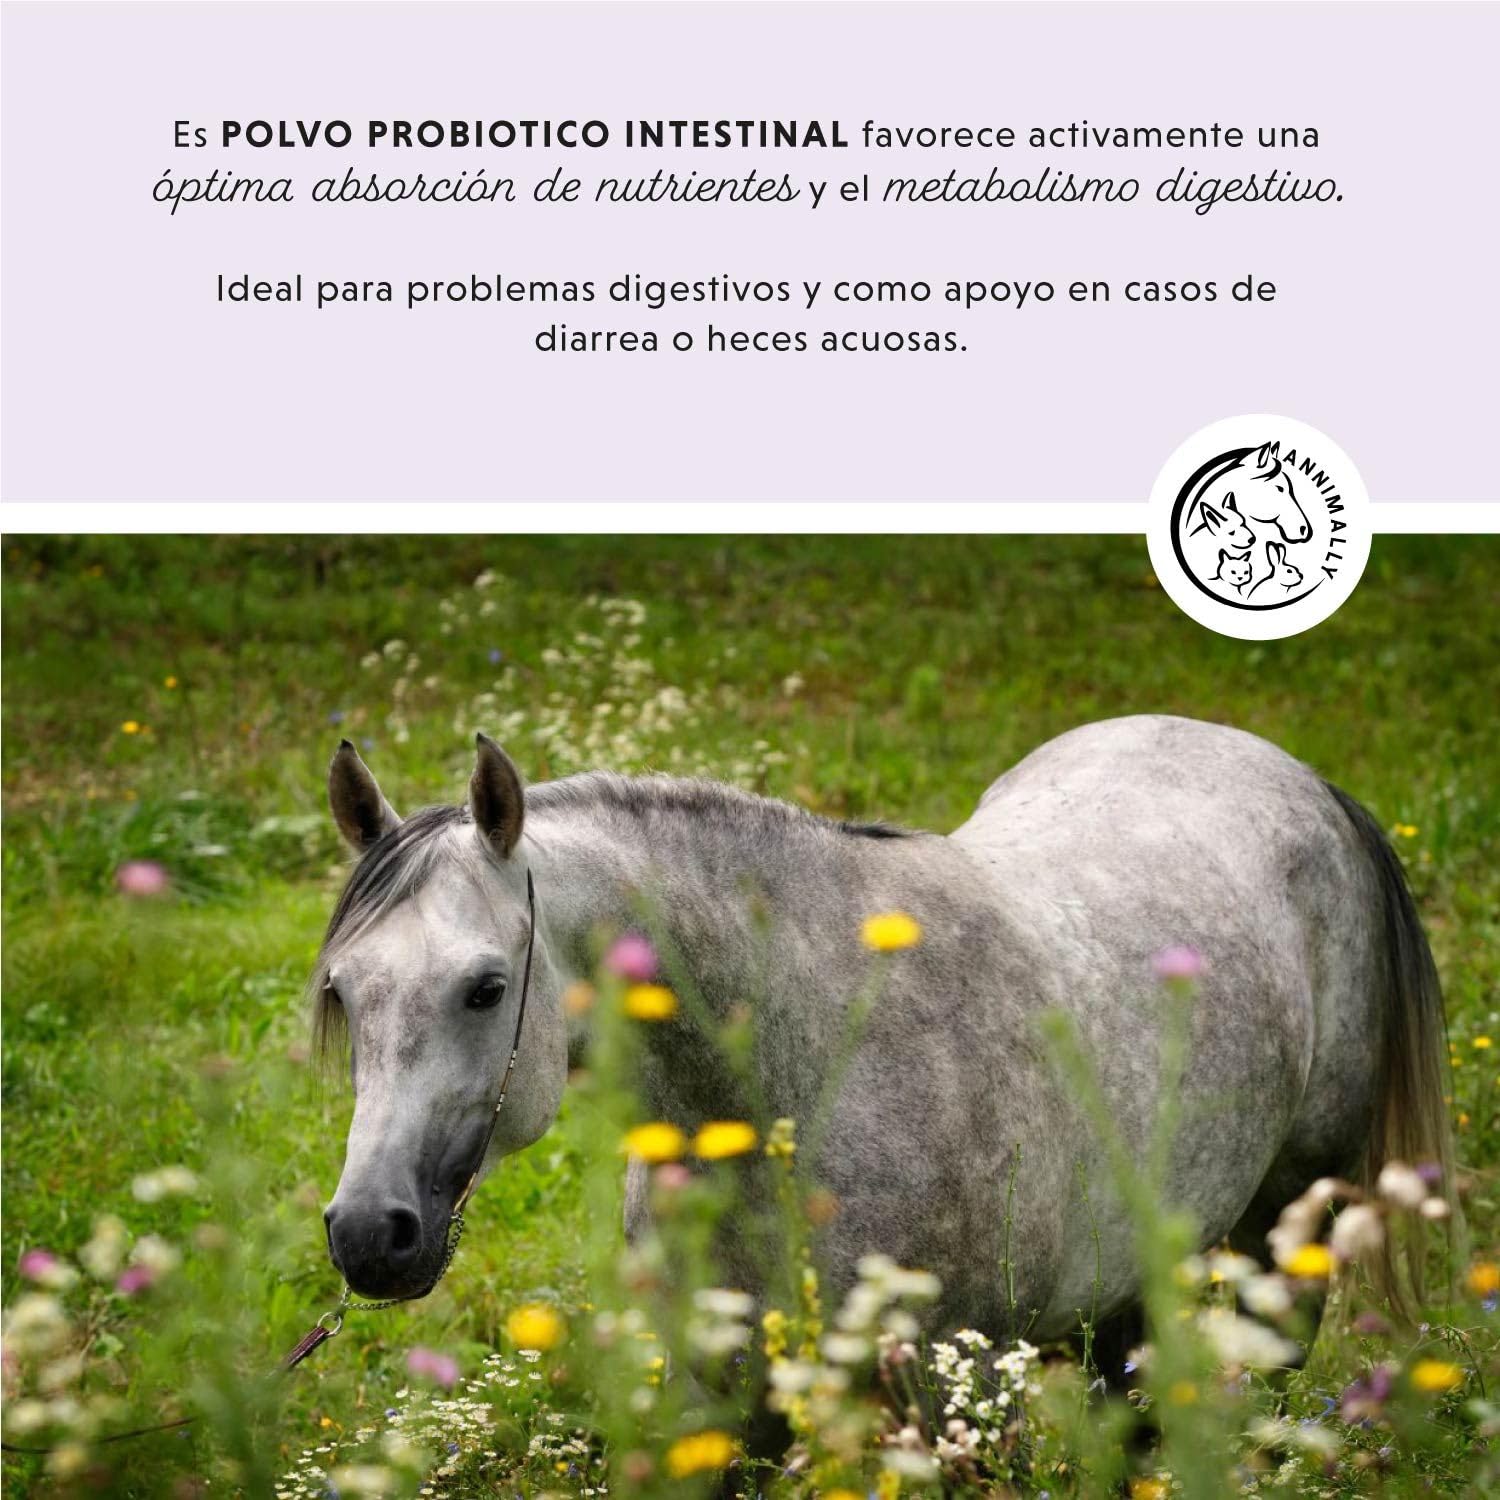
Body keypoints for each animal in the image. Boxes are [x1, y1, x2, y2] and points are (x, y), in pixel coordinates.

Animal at [311, 715, 1448, 1374]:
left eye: (485, 988)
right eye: (343, 991)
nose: (369, 1233)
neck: (803, 1073)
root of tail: (1306, 782)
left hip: (1285, 1235)